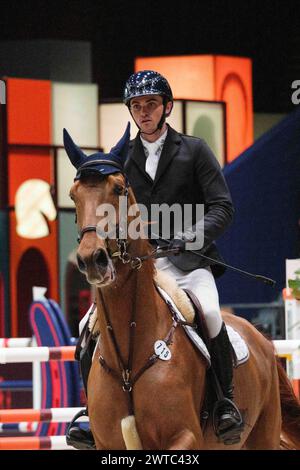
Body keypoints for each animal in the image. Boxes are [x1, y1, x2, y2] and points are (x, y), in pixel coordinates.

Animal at [67, 171, 300, 450]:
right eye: (74, 195)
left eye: (118, 189)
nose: (92, 259)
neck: (127, 367)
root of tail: (261, 337)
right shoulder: (107, 443)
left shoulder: (185, 436)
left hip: (263, 435)